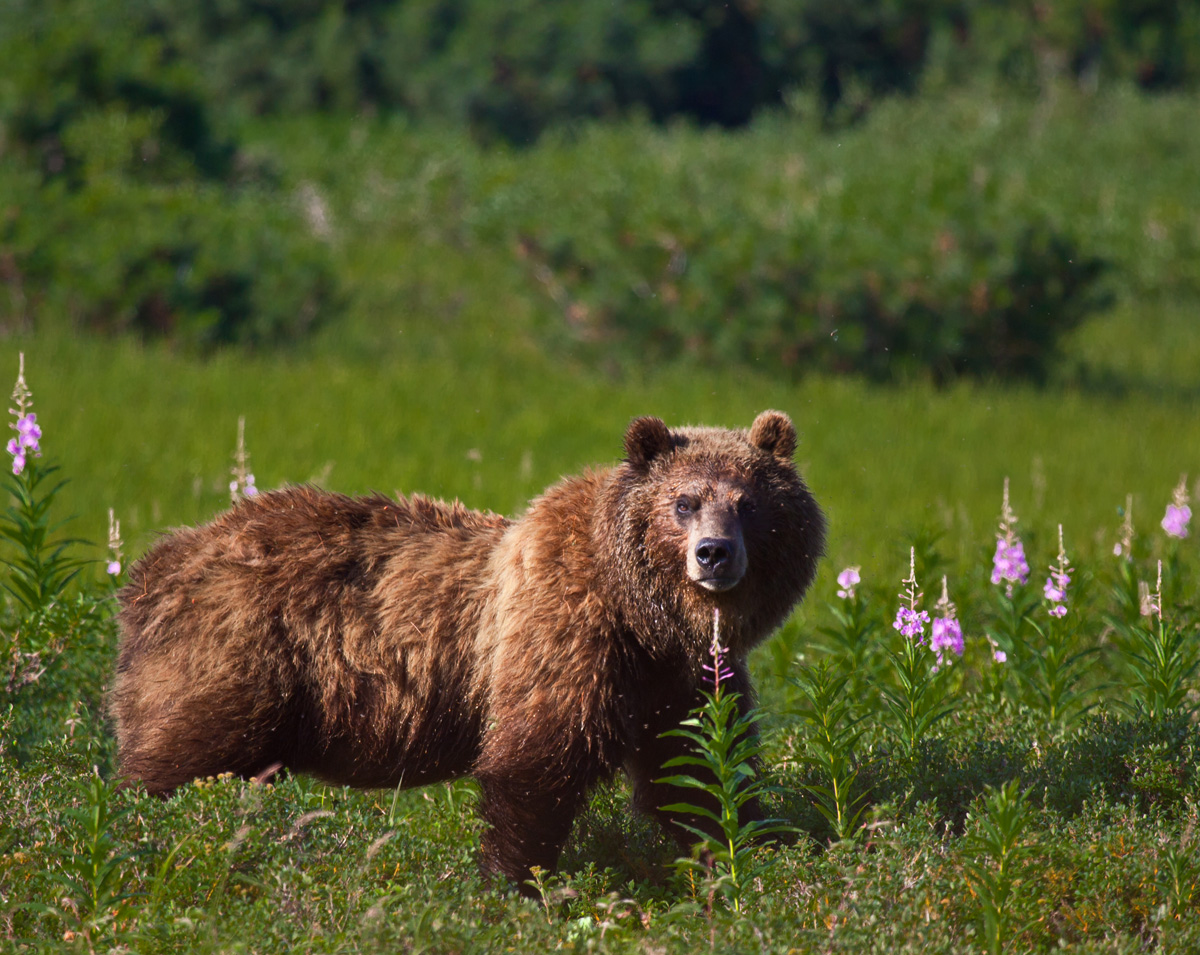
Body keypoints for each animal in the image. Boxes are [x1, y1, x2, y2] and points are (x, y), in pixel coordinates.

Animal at [112, 410, 825, 887]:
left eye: (749, 503)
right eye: (683, 501)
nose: (714, 553)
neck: (645, 617)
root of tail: (154, 565)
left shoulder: (681, 677)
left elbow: (698, 770)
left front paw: (745, 852)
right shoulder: (566, 637)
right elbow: (535, 764)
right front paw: (515, 883)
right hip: (238, 653)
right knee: (181, 755)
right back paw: (140, 827)